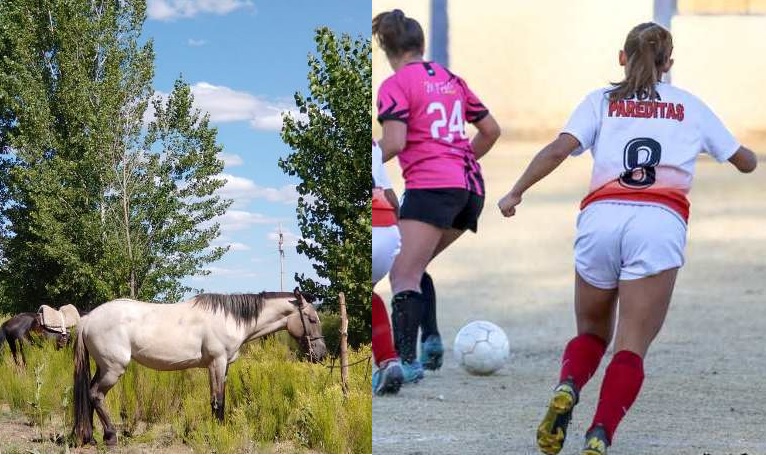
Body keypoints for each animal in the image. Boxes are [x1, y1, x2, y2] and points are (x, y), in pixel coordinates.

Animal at [75, 290, 330, 448]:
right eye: (312, 319)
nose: (321, 354)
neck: (230, 319)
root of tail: (88, 319)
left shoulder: (218, 366)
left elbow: (216, 400)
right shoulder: (218, 362)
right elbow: (219, 400)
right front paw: (217, 433)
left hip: (103, 367)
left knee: (89, 394)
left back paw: (91, 438)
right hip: (113, 368)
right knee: (96, 395)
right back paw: (110, 437)